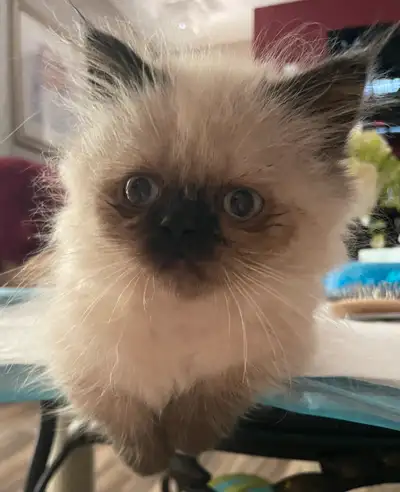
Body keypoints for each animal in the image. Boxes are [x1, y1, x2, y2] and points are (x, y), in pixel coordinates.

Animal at [34, 22, 373, 476]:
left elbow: (209, 397)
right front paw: (148, 460)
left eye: (241, 204)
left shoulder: (271, 354)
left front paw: (183, 439)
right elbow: (119, 406)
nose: (180, 226)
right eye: (139, 190)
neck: (181, 317)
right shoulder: (74, 355)